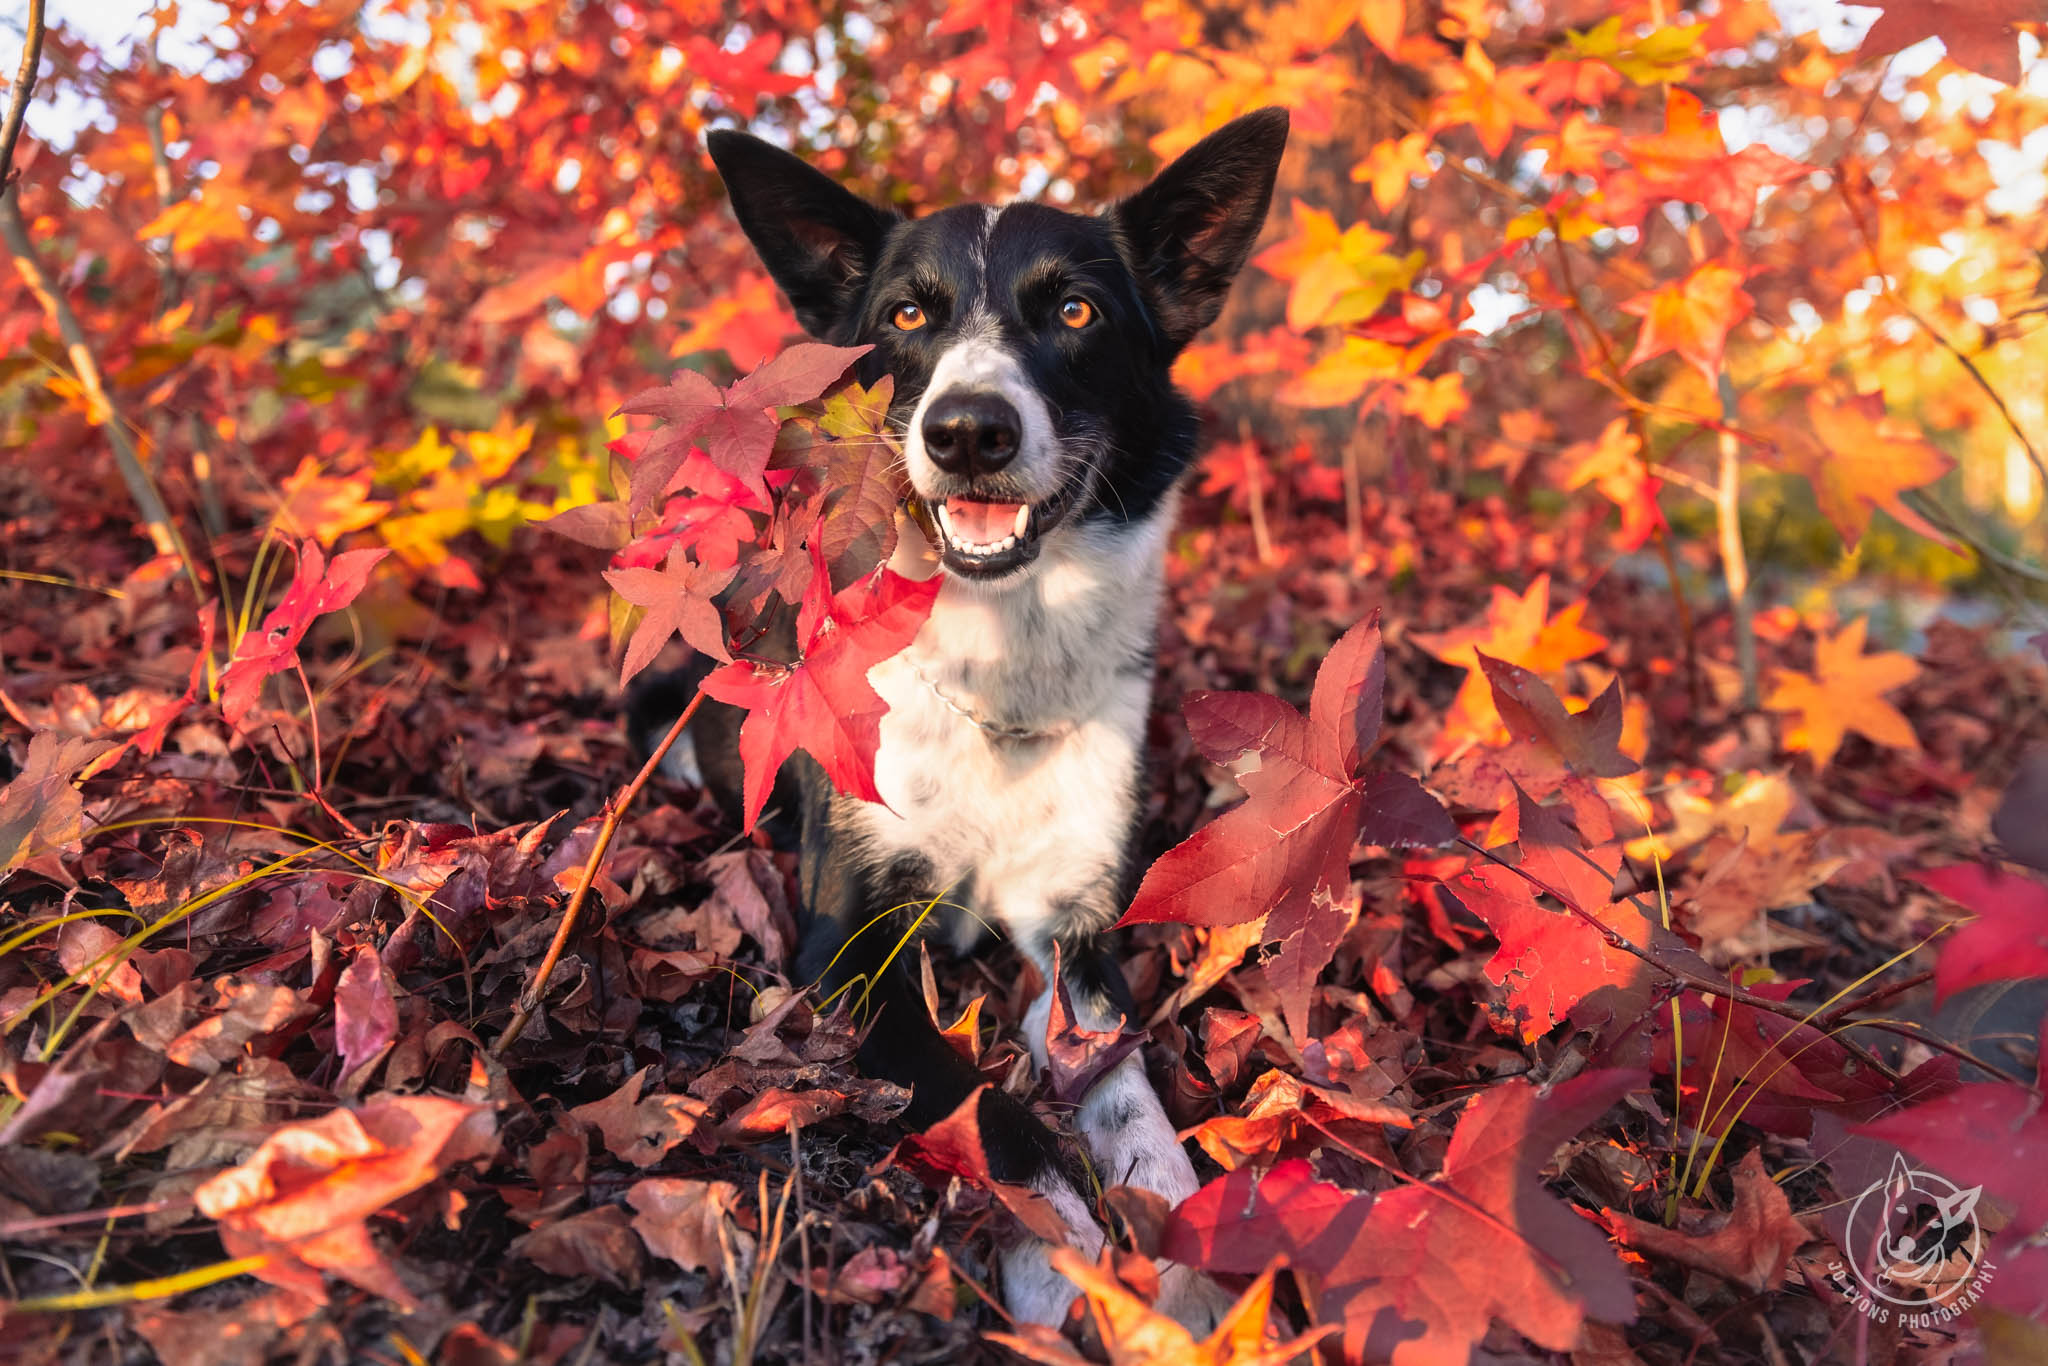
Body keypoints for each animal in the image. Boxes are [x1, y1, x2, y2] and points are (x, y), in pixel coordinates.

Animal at [647, 112, 1286, 1327]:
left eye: (1075, 312)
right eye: (907, 315)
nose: (969, 431)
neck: (1002, 671)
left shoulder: (1076, 927)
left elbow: (1126, 1091)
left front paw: (1175, 1268)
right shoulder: (843, 945)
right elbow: (988, 1113)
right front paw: (1060, 1255)